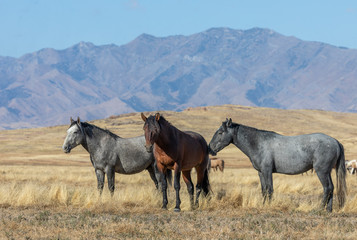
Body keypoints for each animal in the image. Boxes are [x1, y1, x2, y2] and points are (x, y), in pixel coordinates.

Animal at [207, 118, 346, 212]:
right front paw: (263, 205)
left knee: (327, 188)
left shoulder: (267, 171)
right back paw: (328, 210)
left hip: (321, 171)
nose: (210, 148)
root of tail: (335, 141)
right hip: (327, 172)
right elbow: (264, 190)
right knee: (331, 188)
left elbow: (270, 189)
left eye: (220, 132)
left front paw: (269, 205)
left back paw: (319, 209)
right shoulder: (261, 172)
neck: (258, 143)